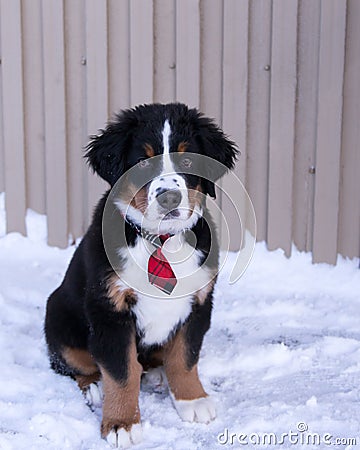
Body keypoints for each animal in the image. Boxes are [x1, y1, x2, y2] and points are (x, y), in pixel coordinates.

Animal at [44, 103, 236, 446]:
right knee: (75, 364)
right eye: (142, 162)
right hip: (58, 315)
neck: (161, 241)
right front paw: (121, 424)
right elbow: (122, 371)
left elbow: (185, 357)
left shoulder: (200, 302)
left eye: (188, 161)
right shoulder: (109, 309)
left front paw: (192, 399)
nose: (169, 198)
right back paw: (94, 385)